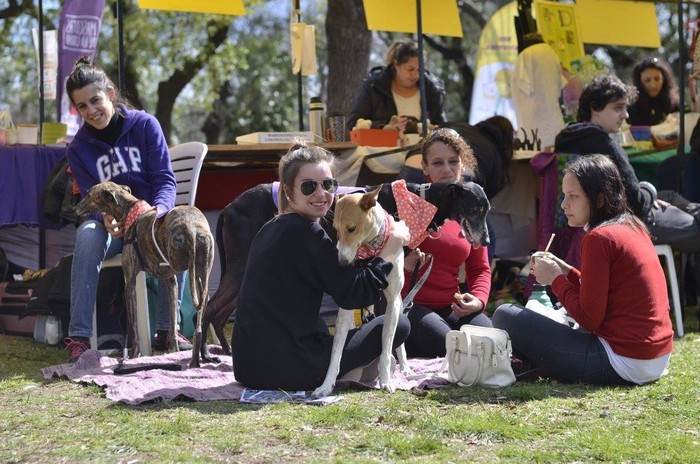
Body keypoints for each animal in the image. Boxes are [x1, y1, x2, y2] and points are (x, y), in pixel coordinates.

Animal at [312, 187, 410, 396]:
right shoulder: (346, 304)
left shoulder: (392, 302)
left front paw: (386, 381)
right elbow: (337, 351)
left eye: (351, 228)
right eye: (336, 230)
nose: (341, 263)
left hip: (397, 302)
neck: (370, 252)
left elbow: (386, 348)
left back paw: (405, 367)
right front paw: (326, 385)